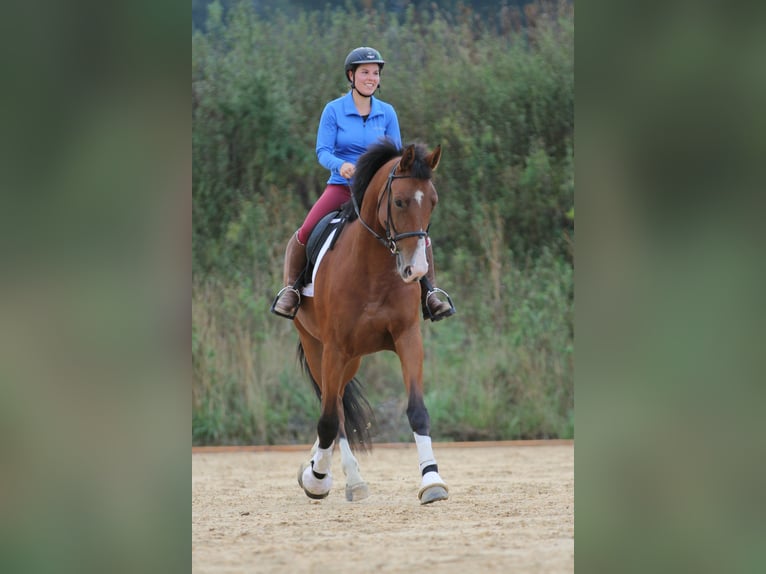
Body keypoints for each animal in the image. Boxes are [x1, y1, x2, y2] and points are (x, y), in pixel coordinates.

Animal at [292, 139, 449, 504]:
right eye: (399, 201)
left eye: (432, 201)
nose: (416, 270)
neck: (373, 268)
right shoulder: (334, 348)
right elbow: (329, 418)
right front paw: (317, 480)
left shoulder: (407, 338)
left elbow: (417, 409)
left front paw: (431, 480)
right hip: (318, 347)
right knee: (333, 408)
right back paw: (338, 477)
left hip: (353, 359)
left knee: (337, 402)